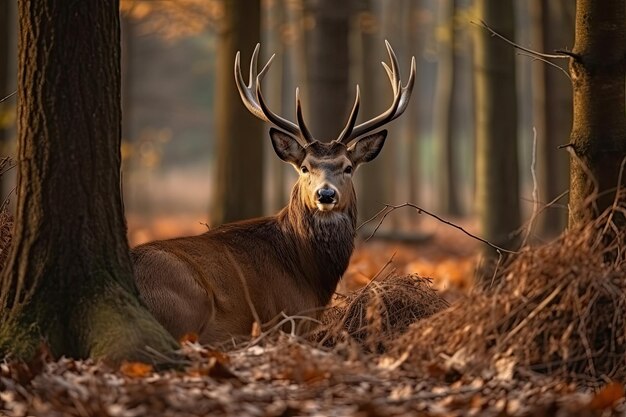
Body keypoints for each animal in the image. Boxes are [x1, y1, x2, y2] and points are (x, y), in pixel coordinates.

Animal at [130, 40, 414, 342]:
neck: (309, 274)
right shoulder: (287, 317)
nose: (325, 195)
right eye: (305, 167)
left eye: (348, 167)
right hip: (189, 301)